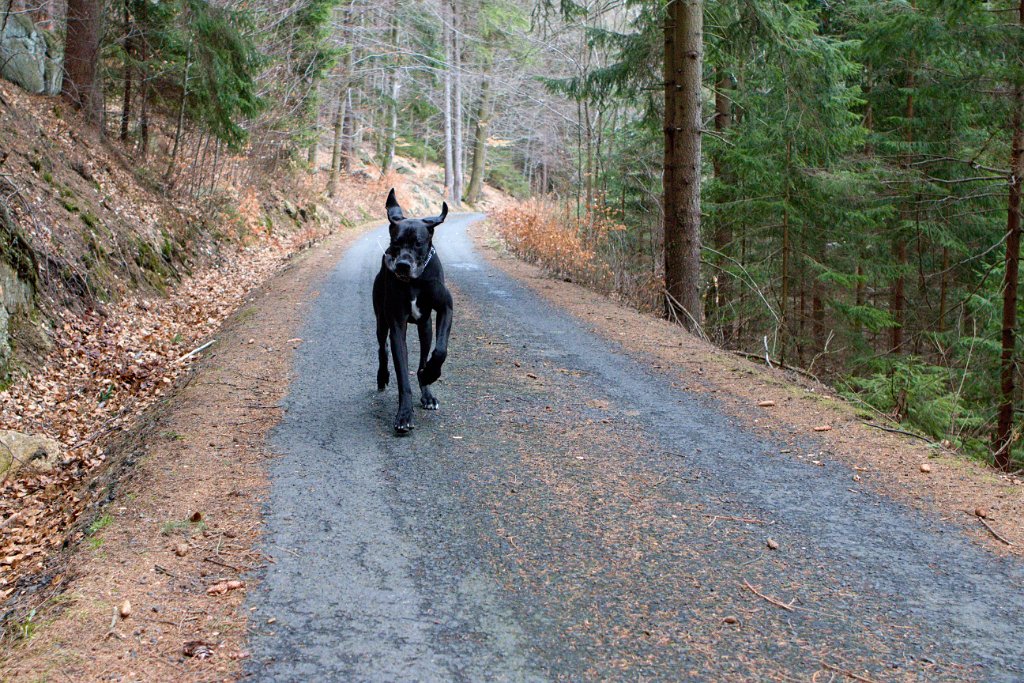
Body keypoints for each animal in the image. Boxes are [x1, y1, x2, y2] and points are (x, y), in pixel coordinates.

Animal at [372, 187, 452, 432]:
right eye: (395, 242)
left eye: (418, 243)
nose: (402, 265)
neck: (415, 281)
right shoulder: (397, 325)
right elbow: (402, 377)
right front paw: (404, 415)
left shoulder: (446, 308)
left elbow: (440, 351)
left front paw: (430, 375)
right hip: (381, 320)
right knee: (382, 348)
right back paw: (382, 376)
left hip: (425, 327)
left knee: (423, 359)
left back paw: (427, 391)